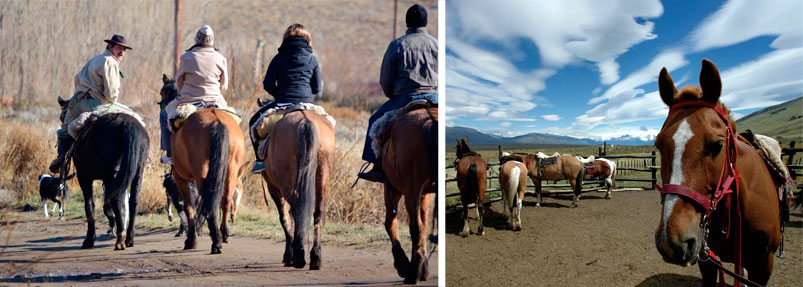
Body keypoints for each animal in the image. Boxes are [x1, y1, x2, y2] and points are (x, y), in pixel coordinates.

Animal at [57, 97, 152, 250]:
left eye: (62, 116)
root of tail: (128, 126)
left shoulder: (84, 177)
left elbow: (90, 206)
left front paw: (89, 240)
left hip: (110, 174)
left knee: (115, 199)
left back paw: (120, 240)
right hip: (137, 172)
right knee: (133, 201)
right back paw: (129, 238)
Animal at [163, 77, 248, 255]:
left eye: (163, 91)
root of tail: (216, 120)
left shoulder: (181, 178)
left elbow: (190, 208)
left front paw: (191, 240)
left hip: (202, 175)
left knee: (209, 205)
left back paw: (216, 243)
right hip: (231, 171)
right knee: (225, 201)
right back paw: (224, 235)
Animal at [258, 103, 332, 270]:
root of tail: (306, 122)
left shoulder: (274, 189)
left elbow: (285, 218)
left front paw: (288, 255)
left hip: (286, 184)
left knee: (296, 210)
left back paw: (298, 256)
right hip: (323, 175)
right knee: (318, 212)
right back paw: (315, 257)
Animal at [380, 104, 436, 284]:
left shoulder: (391, 188)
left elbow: (390, 223)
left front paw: (403, 265)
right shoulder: (425, 193)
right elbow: (425, 224)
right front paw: (423, 269)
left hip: (411, 188)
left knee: (415, 226)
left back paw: (412, 274)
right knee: (420, 226)